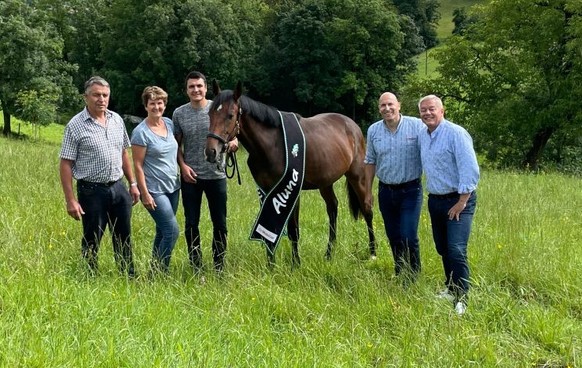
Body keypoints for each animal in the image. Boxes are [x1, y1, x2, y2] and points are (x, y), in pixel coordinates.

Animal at [206, 80, 378, 266]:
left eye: (230, 115)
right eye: (209, 113)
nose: (211, 152)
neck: (272, 144)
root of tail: (353, 126)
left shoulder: (292, 189)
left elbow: (293, 229)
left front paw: (295, 264)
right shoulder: (267, 191)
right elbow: (269, 225)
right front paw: (271, 265)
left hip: (358, 178)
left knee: (367, 210)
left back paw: (372, 252)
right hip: (325, 183)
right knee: (332, 208)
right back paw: (329, 254)